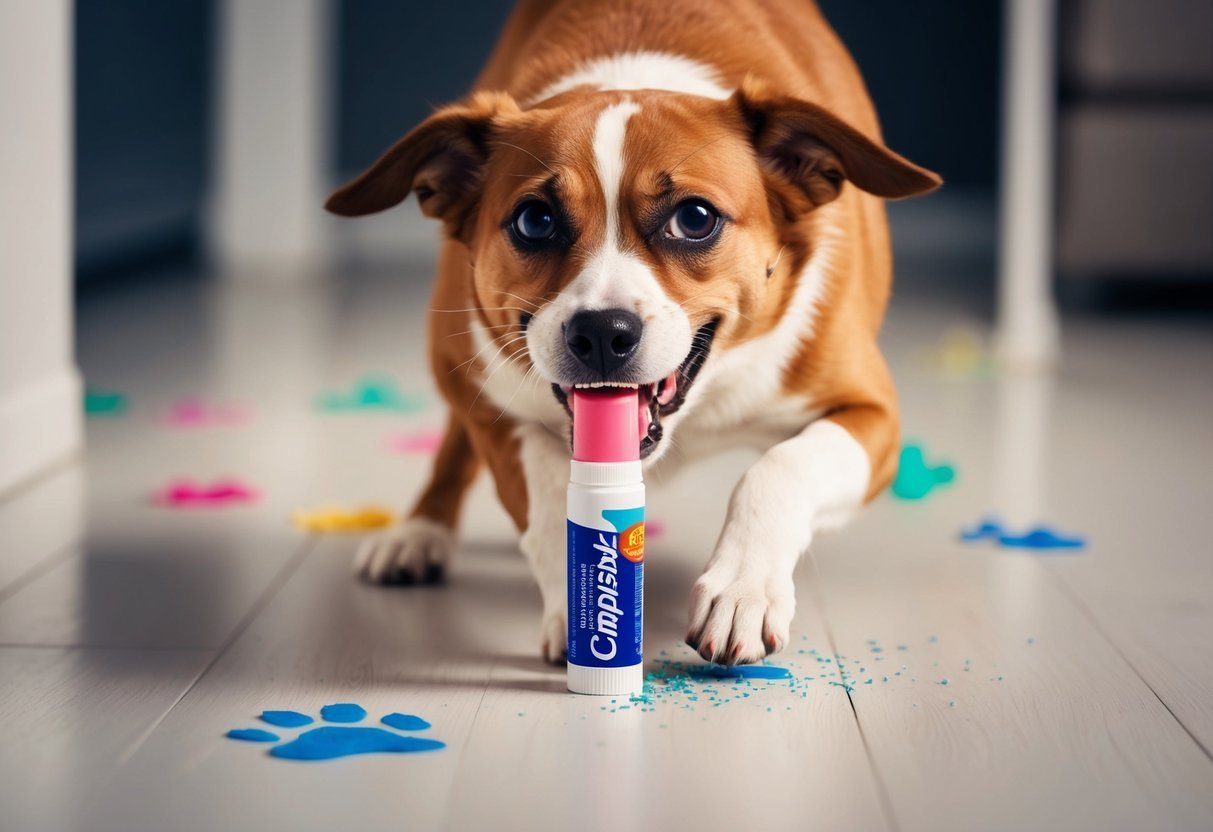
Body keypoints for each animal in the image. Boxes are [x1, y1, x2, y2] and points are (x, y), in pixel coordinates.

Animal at [327, 0, 941, 669]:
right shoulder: (482, 393)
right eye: (534, 220)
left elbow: (780, 467)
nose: (601, 333)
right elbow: (546, 489)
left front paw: (741, 588)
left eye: (695, 218)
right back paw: (420, 530)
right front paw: (584, 609)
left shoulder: (872, 413)